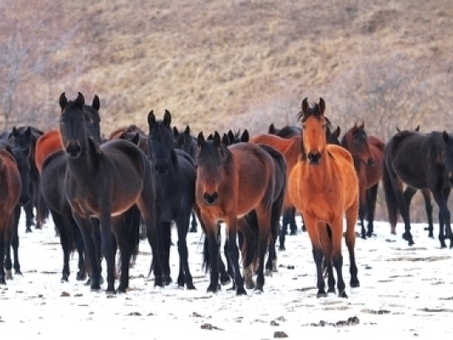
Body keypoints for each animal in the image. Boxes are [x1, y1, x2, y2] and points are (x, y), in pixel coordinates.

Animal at [57, 92, 161, 292]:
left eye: (82, 119)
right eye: (62, 121)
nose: (73, 149)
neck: (84, 174)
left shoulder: (103, 212)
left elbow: (106, 247)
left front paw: (109, 287)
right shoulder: (80, 215)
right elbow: (91, 249)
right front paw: (95, 284)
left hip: (145, 204)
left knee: (153, 239)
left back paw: (159, 281)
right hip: (117, 215)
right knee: (125, 244)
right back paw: (123, 285)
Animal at [147, 109, 195, 290]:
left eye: (168, 139)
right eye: (151, 139)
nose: (161, 167)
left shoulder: (181, 217)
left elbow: (182, 247)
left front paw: (189, 281)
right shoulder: (155, 218)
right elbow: (158, 246)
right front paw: (158, 280)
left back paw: (180, 279)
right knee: (165, 245)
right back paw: (166, 277)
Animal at [193, 131, 282, 294]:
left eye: (219, 164)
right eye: (198, 164)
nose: (210, 197)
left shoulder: (230, 218)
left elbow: (232, 250)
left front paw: (239, 287)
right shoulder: (208, 218)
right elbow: (213, 249)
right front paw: (213, 286)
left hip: (263, 209)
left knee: (262, 242)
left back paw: (259, 284)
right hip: (242, 217)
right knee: (251, 236)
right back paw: (249, 279)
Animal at [288, 97, 358, 298]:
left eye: (323, 125)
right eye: (304, 126)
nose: (313, 156)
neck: (319, 184)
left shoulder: (336, 218)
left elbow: (337, 255)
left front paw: (342, 289)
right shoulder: (310, 219)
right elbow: (319, 253)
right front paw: (321, 289)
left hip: (352, 210)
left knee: (350, 241)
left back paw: (353, 280)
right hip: (321, 222)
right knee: (327, 248)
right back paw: (331, 285)